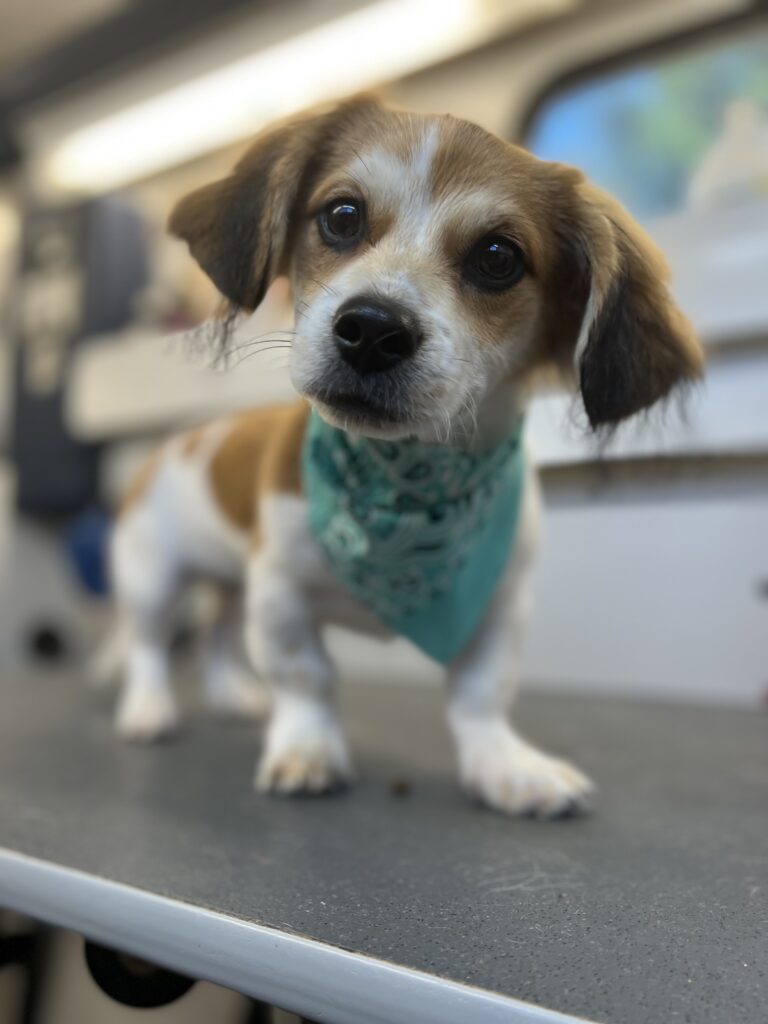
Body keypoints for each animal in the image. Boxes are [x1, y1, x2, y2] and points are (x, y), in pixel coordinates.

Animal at [107, 96, 704, 815]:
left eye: (498, 256)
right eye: (342, 216)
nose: (370, 330)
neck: (408, 488)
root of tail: (171, 445)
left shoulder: (501, 604)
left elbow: (482, 694)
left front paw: (504, 765)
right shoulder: (280, 592)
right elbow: (306, 676)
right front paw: (307, 749)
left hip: (226, 583)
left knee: (218, 635)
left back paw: (229, 694)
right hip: (151, 577)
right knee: (148, 644)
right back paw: (148, 709)